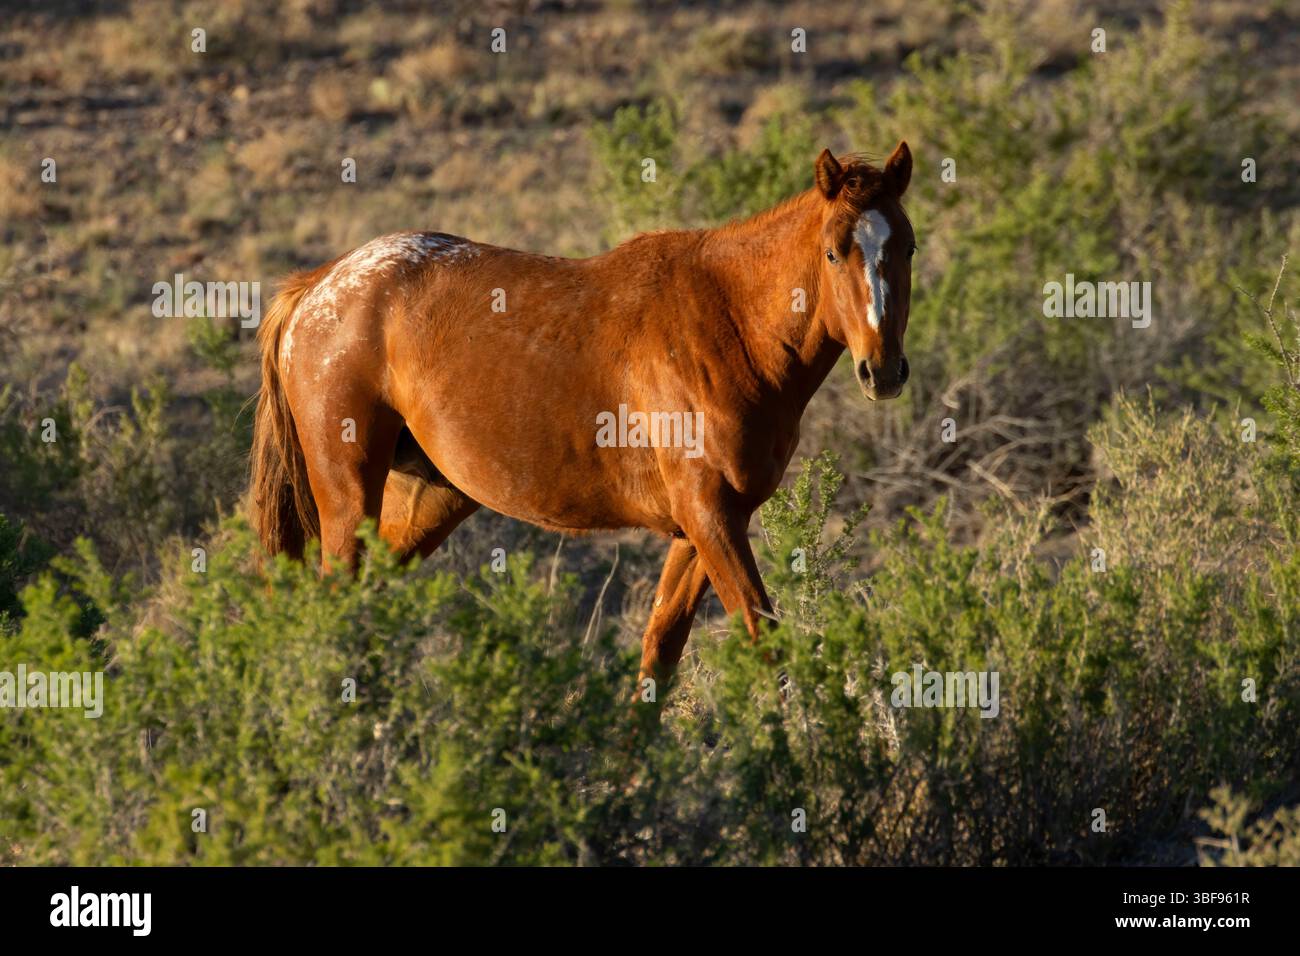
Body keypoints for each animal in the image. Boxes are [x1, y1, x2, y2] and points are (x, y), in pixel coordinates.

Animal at [249, 142, 915, 695]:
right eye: (833, 253)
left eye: (906, 247)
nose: (882, 371)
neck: (730, 323)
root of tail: (320, 286)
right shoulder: (712, 518)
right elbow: (762, 641)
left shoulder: (700, 529)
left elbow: (659, 653)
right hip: (349, 496)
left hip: (427, 500)